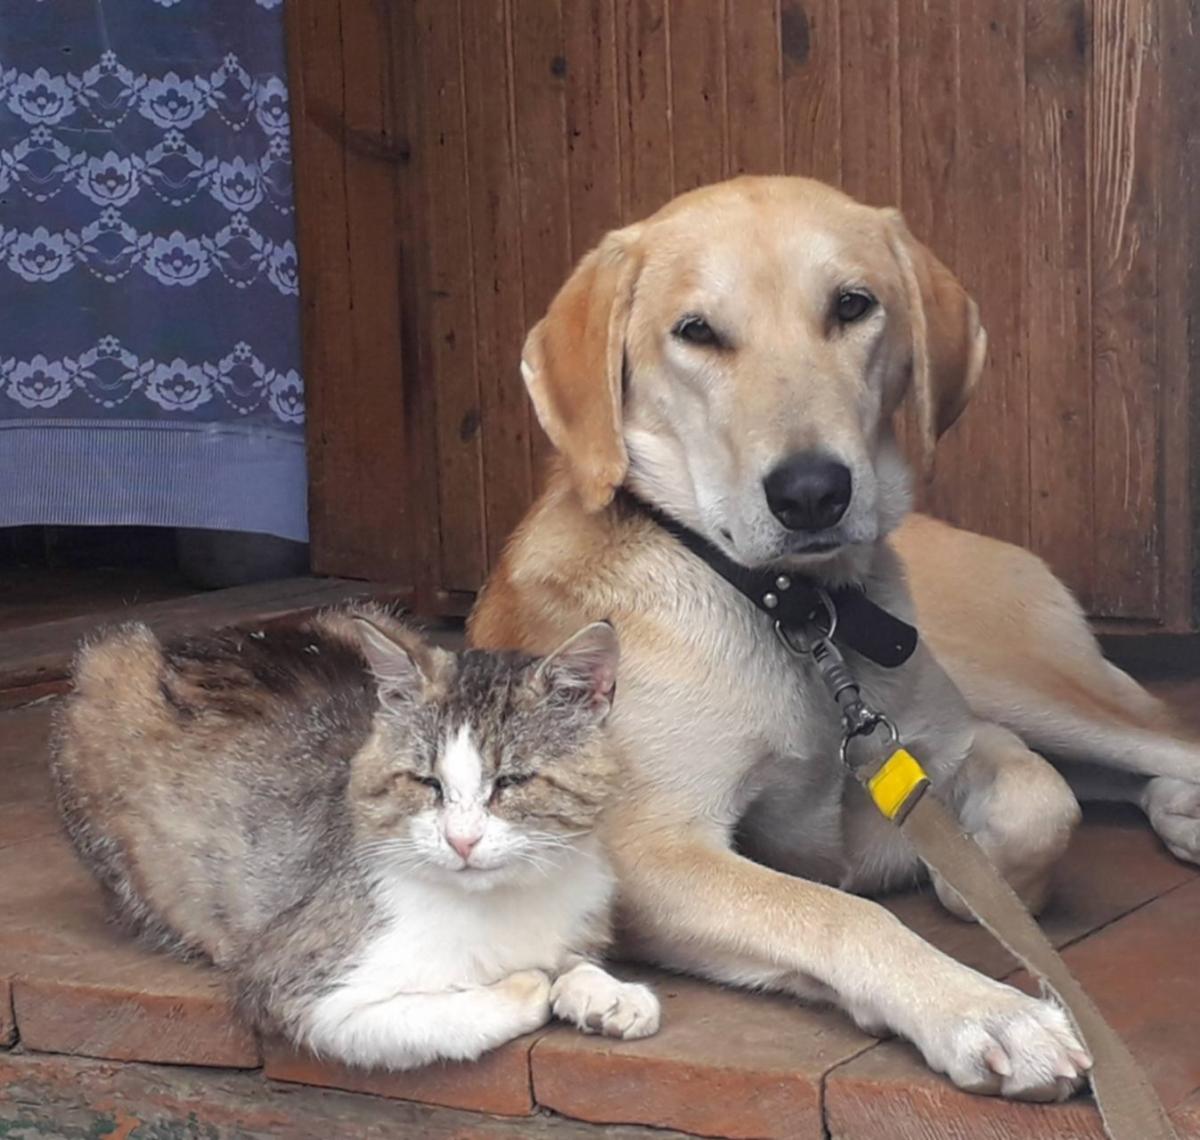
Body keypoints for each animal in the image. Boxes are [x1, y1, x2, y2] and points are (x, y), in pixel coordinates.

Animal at [50, 604, 659, 1069]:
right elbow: (438, 1018)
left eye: (511, 782)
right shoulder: (297, 987)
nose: (461, 841)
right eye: (426, 783)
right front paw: (530, 983)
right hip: (104, 668)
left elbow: (573, 957)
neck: (503, 902)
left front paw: (607, 992)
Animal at [468, 176, 1200, 1101]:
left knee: (1158, 742)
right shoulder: (647, 849)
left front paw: (977, 885)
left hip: (1032, 688)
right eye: (695, 331)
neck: (796, 615)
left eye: (853, 306)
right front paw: (984, 1010)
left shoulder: (951, 742)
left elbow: (1042, 803)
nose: (812, 492)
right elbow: (839, 910)